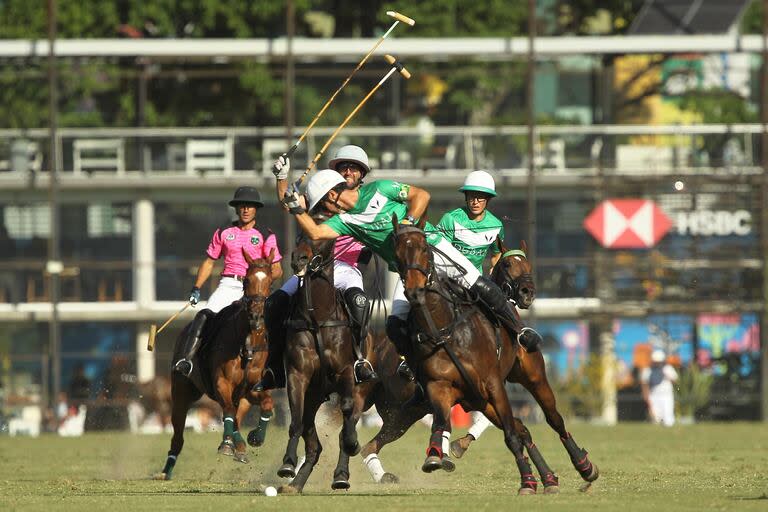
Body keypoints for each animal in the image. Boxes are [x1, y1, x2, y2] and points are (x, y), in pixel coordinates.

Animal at [154, 249, 276, 480]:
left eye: (271, 282)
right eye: (247, 280)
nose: (256, 316)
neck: (246, 343)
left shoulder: (253, 388)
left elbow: (266, 404)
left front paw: (255, 437)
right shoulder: (221, 383)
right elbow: (228, 411)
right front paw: (229, 444)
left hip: (239, 397)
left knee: (236, 415)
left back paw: (239, 447)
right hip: (181, 392)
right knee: (179, 435)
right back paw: (167, 470)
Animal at [278, 235, 376, 492]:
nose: (299, 259)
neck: (318, 316)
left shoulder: (345, 373)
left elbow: (346, 416)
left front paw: (352, 444)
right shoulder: (297, 375)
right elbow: (295, 420)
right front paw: (287, 463)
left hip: (362, 388)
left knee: (346, 423)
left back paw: (341, 475)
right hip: (314, 396)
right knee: (313, 442)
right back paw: (296, 483)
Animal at [392, 218, 536, 494]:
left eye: (529, 265)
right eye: (507, 265)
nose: (526, 293)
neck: (445, 330)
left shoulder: (491, 385)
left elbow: (510, 430)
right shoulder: (440, 387)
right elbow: (441, 424)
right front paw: (439, 455)